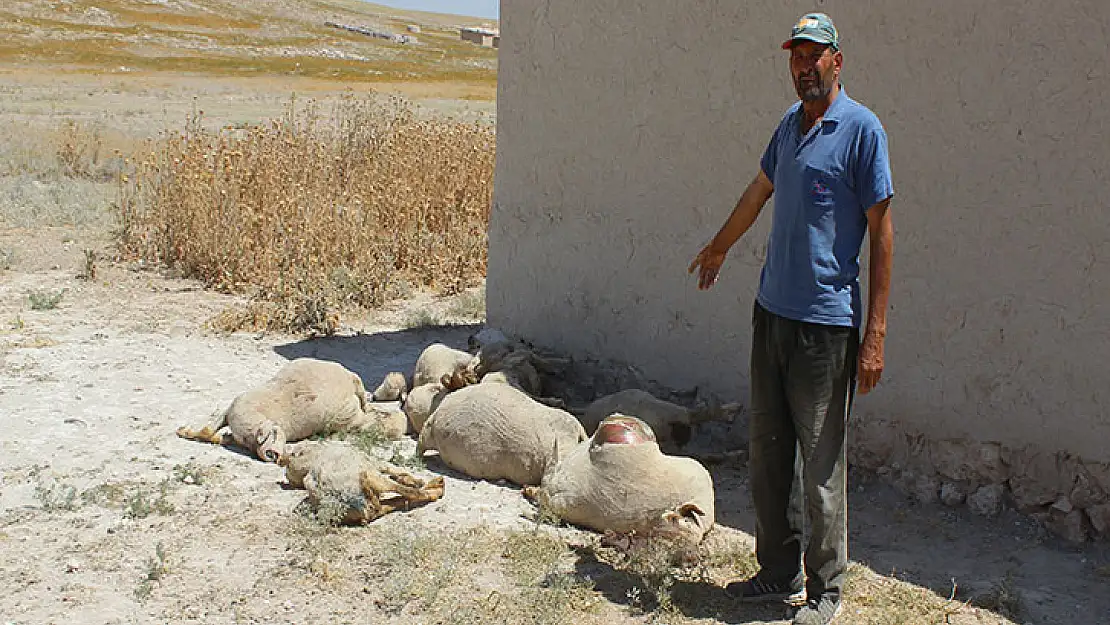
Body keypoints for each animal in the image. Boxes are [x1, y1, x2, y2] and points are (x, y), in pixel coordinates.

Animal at [179, 359, 406, 461]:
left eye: (264, 436)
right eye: (245, 443)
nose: (272, 455)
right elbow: (208, 429)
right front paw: (188, 431)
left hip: (353, 387)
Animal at [277, 441, 441, 526]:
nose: (286, 478)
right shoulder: (373, 462)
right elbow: (393, 468)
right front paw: (415, 481)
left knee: (389, 504)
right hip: (375, 478)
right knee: (409, 493)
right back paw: (436, 488)